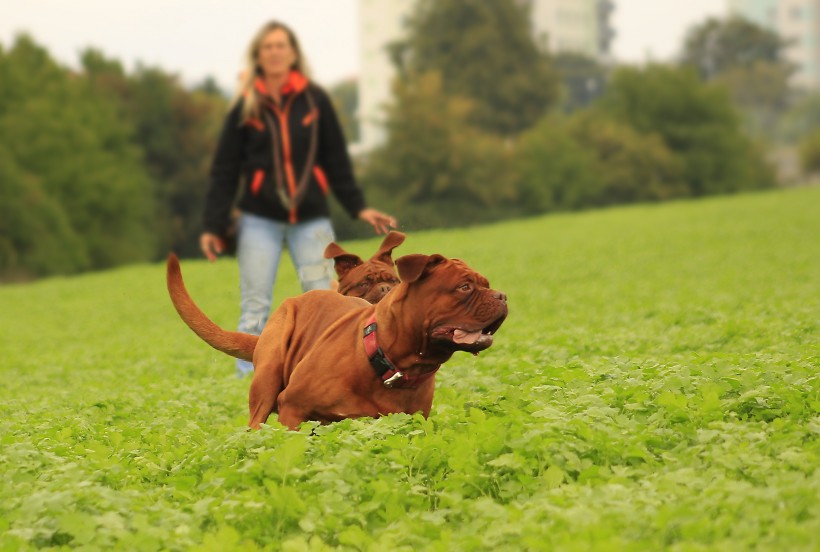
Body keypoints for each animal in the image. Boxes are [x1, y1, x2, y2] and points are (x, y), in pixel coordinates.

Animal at [167, 252, 506, 430]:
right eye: (464, 287)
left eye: (487, 284)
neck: (390, 361)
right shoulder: (292, 408)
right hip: (266, 382)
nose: (502, 296)